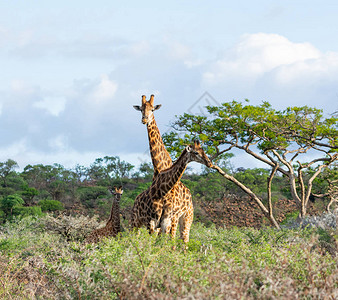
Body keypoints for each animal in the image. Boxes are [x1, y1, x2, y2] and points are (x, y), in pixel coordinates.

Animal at [133, 95, 194, 243]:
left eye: (152, 109)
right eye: (141, 109)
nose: (144, 119)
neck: (160, 168)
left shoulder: (171, 216)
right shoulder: (157, 218)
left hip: (186, 217)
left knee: (184, 239)